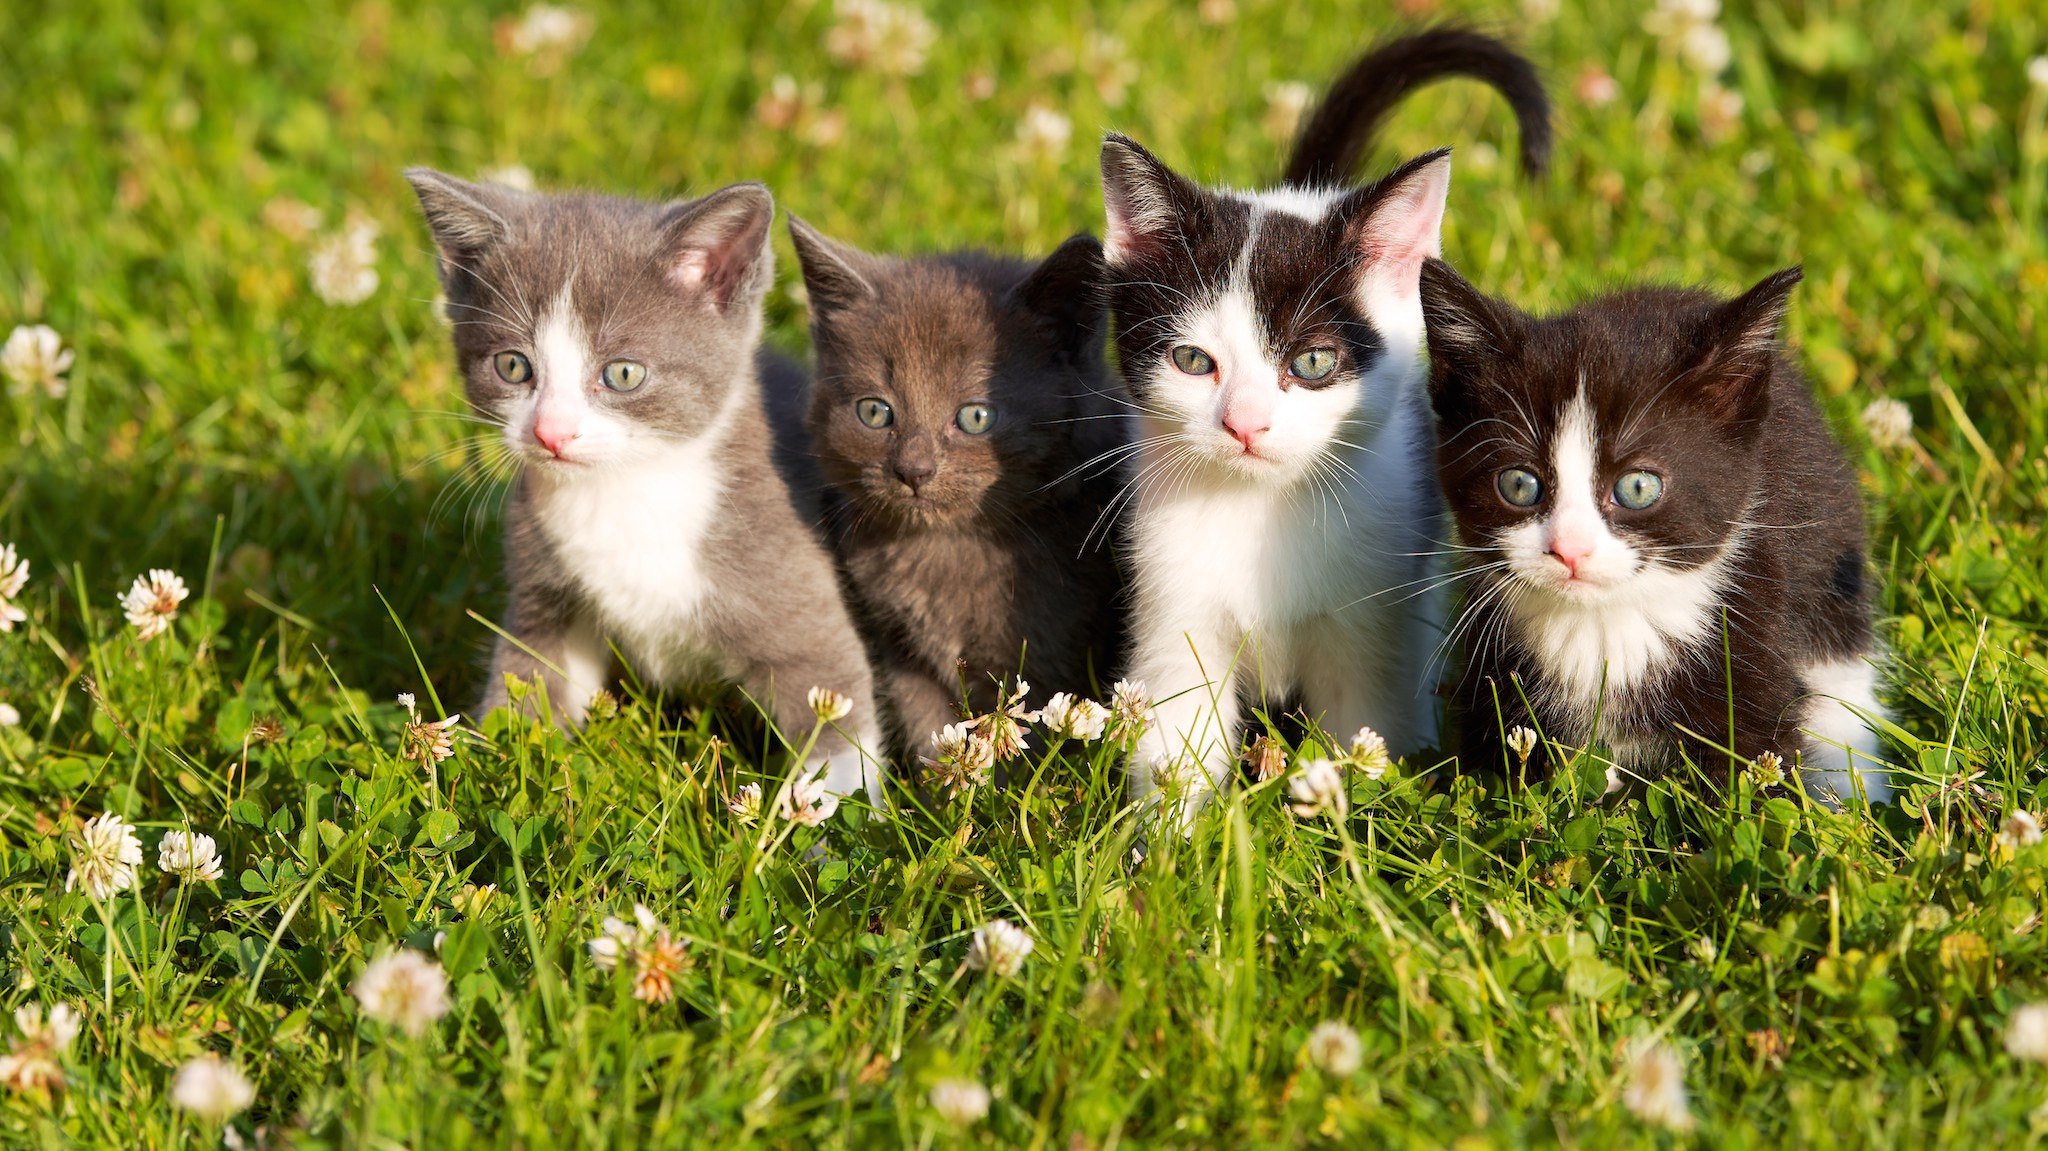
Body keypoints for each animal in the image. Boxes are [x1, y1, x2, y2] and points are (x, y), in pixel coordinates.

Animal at [403, 169, 884, 802]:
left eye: (623, 373)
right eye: (512, 366)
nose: (551, 432)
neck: (625, 492)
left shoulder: (786, 568)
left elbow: (834, 700)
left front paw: (815, 814)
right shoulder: (544, 594)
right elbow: (527, 680)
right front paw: (490, 780)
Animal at [782, 224, 1138, 757]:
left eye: (975, 416)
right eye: (874, 412)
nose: (913, 470)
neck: (946, 549)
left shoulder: (1050, 659)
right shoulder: (904, 657)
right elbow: (928, 730)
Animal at [1105, 26, 1548, 815]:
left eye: (1312, 362)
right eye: (1192, 360)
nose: (1245, 424)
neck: (1262, 513)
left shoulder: (1371, 629)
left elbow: (1363, 737)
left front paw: (1358, 825)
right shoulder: (1172, 609)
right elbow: (1177, 743)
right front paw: (1168, 840)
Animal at [1425, 256, 1884, 802]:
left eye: (1638, 487)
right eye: (1518, 484)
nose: (1570, 550)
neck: (1606, 626)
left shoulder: (1755, 636)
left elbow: (1755, 776)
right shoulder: (1493, 662)